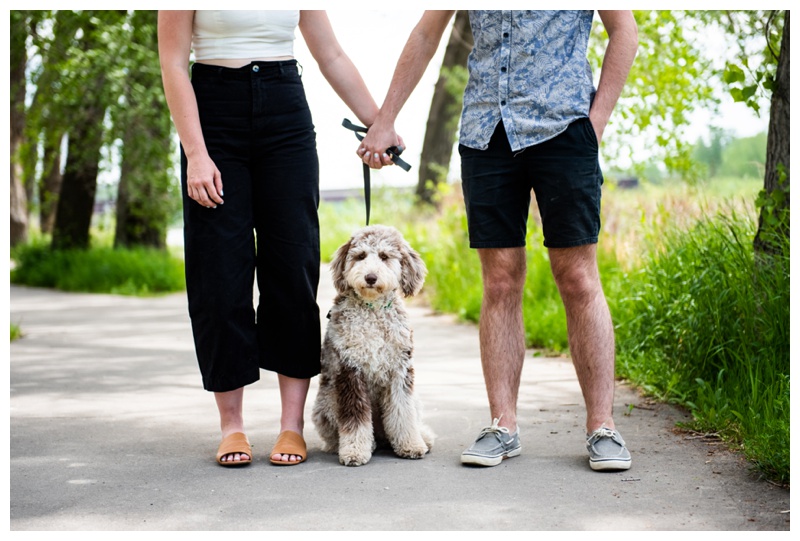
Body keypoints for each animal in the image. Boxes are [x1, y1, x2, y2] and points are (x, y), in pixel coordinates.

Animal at [314, 224, 438, 464]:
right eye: (361, 256)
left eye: (384, 256)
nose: (370, 277)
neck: (372, 309)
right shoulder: (350, 371)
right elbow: (355, 419)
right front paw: (354, 450)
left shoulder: (400, 371)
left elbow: (403, 413)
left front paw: (411, 445)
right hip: (327, 401)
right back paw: (354, 445)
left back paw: (424, 437)